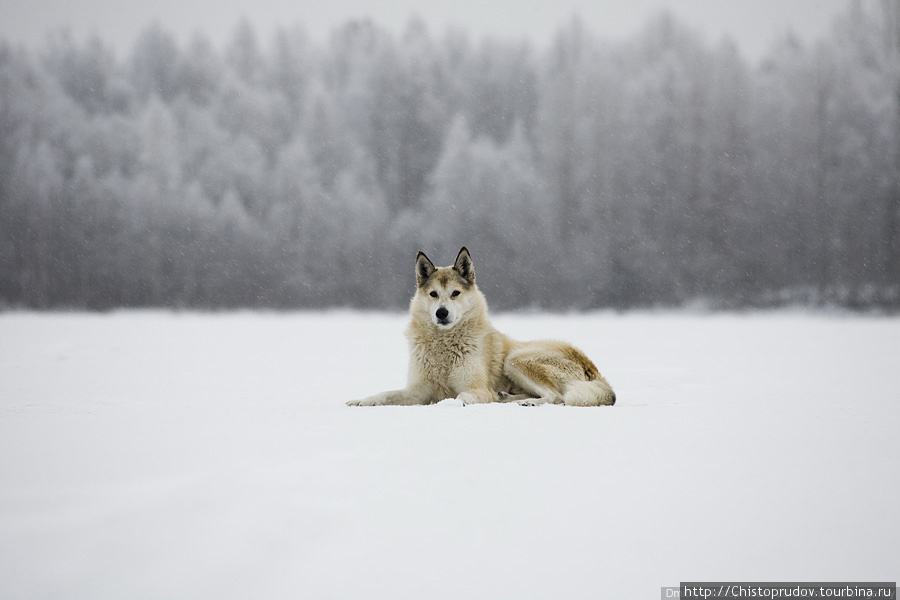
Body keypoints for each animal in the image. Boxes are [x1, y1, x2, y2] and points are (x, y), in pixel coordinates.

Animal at [344, 248, 612, 408]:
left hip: (516, 359)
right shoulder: (418, 391)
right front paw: (361, 401)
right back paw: (508, 398)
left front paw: (453, 403)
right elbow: (385, 394)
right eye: (433, 294)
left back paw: (525, 403)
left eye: (455, 293)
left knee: (557, 397)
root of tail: (594, 370)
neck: (444, 346)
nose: (442, 313)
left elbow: (463, 395)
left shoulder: (477, 388)